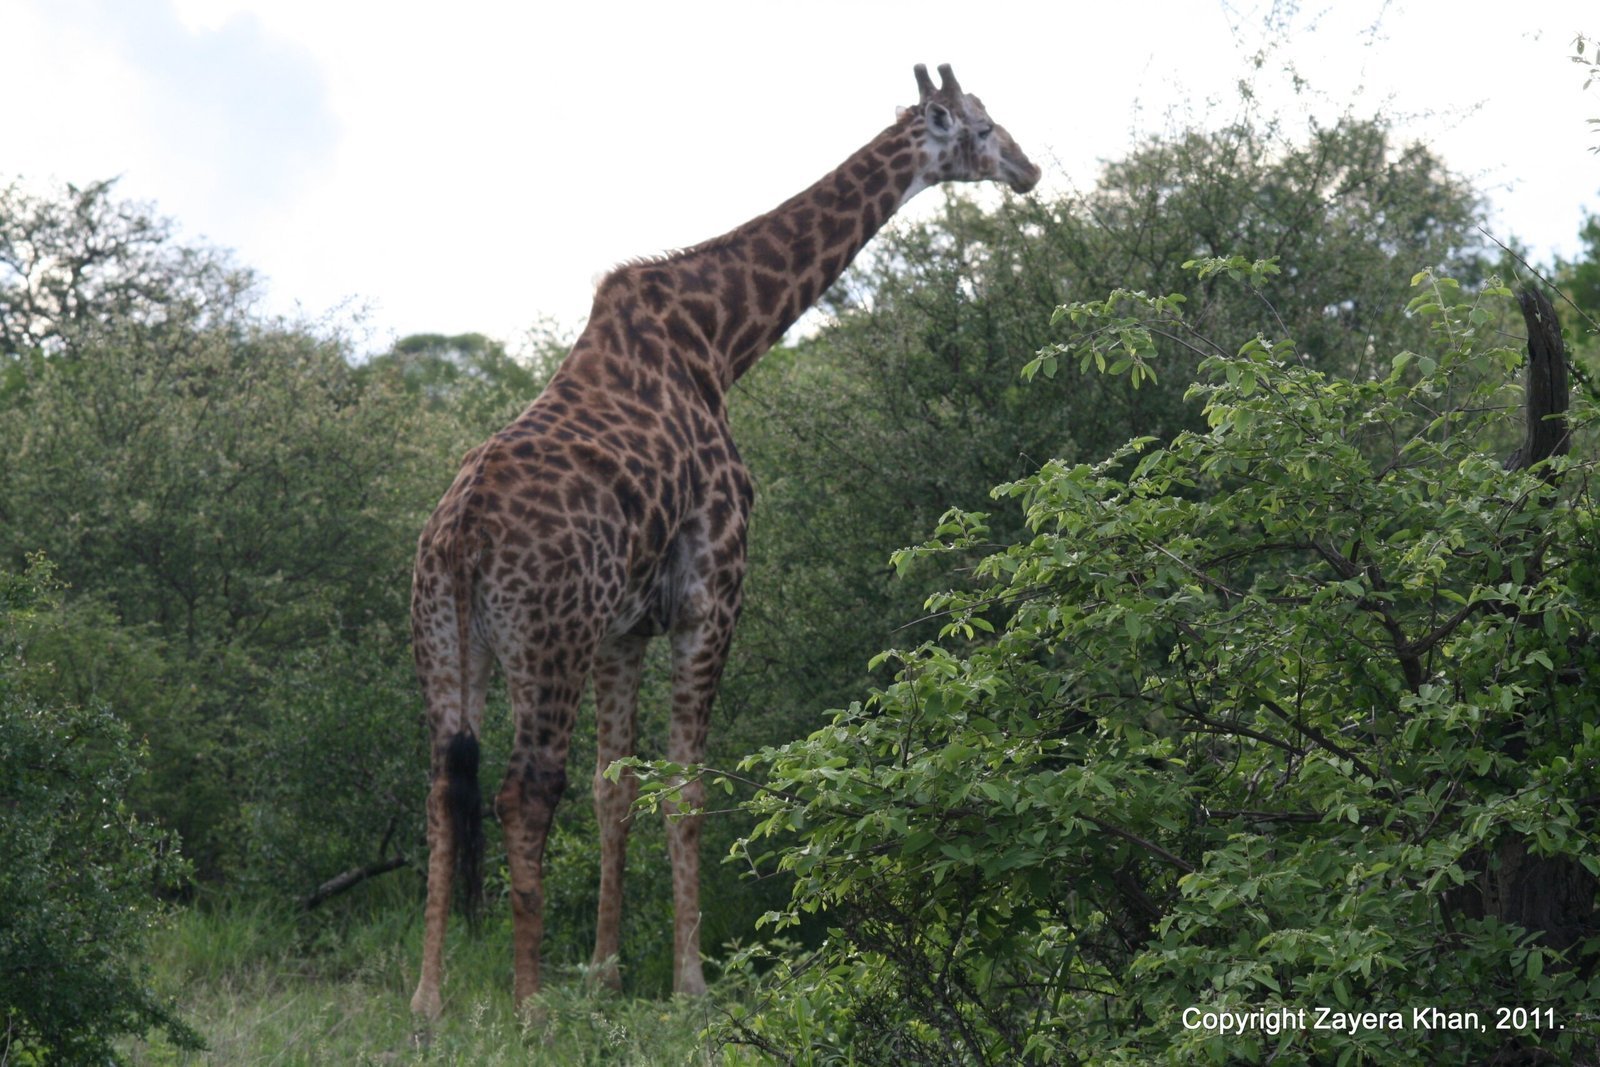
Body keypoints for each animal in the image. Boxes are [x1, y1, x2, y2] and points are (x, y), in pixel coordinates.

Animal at [408, 63, 1039, 1017]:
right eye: (983, 125)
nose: (1031, 170)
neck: (721, 341)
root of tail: (465, 532)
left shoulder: (624, 628)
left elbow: (619, 789)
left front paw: (606, 975)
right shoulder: (711, 597)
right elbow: (690, 788)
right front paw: (692, 985)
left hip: (449, 640)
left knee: (447, 786)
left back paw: (430, 1000)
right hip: (545, 639)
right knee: (524, 790)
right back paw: (528, 1007)